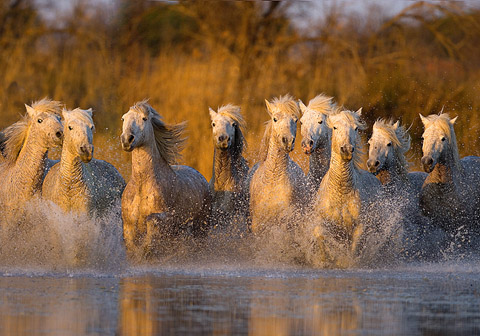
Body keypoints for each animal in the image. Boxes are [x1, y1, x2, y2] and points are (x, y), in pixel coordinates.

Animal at [121, 99, 211, 258]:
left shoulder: (165, 218)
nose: (127, 140)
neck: (142, 184)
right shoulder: (128, 226)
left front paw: (147, 249)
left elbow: (151, 222)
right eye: (123, 118)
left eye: (144, 119)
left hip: (200, 228)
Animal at [249, 94, 306, 234]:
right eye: (275, 119)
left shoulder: (285, 223)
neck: (273, 181)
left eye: (296, 120)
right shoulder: (257, 224)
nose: (287, 141)